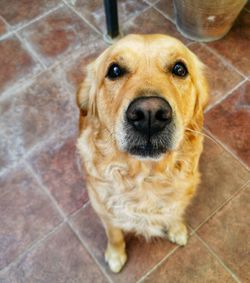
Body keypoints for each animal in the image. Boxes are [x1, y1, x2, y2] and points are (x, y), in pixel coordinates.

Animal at [76, 34, 209, 274]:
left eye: (179, 69)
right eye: (115, 70)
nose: (150, 114)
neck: (146, 177)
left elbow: (176, 212)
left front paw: (176, 229)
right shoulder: (104, 211)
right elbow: (114, 235)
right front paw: (116, 255)